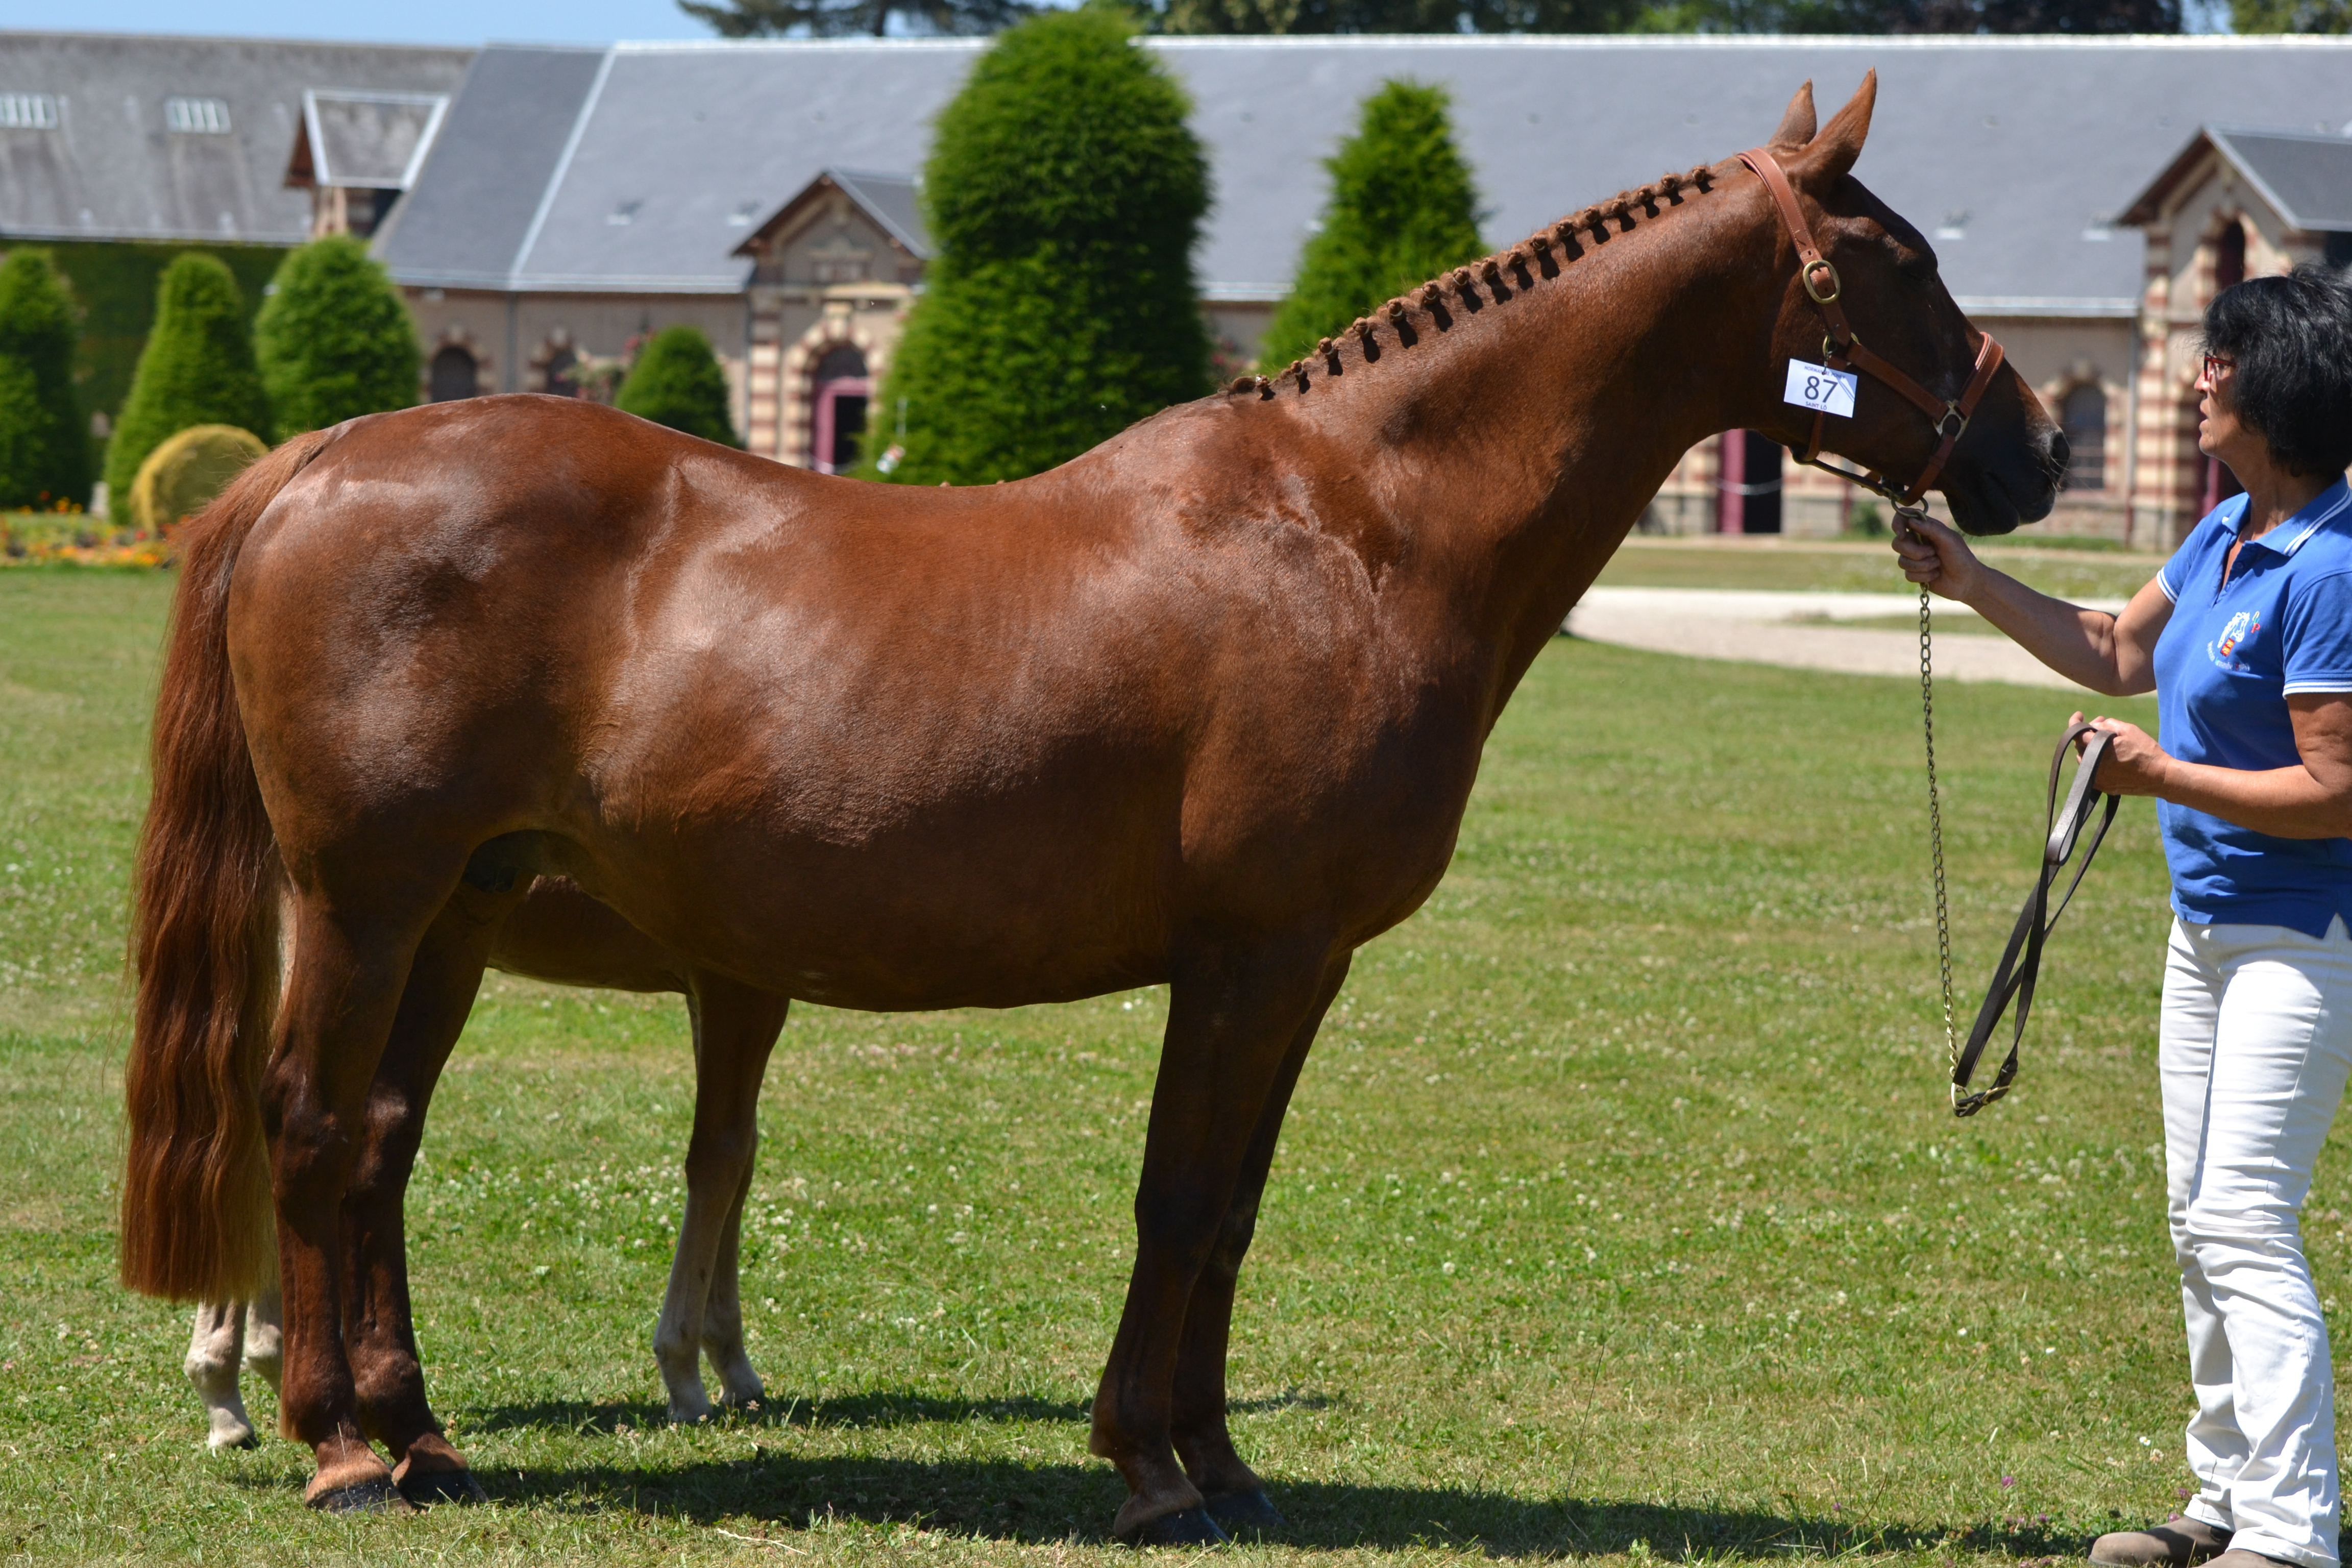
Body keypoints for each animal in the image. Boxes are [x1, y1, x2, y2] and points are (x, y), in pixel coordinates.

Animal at [119, 80, 2060, 1542]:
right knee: (313, 1128)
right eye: (1888, 262)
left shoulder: (1300, 966)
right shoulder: (1248, 954)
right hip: (367, 900)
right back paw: (341, 1446)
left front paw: (1215, 1455)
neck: (1357, 527)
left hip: (453, 910)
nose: (2031, 451)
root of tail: (318, 462)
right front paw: (1153, 1465)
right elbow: (1180, 1201)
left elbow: (1233, 1208)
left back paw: (416, 1433)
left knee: (379, 1142)